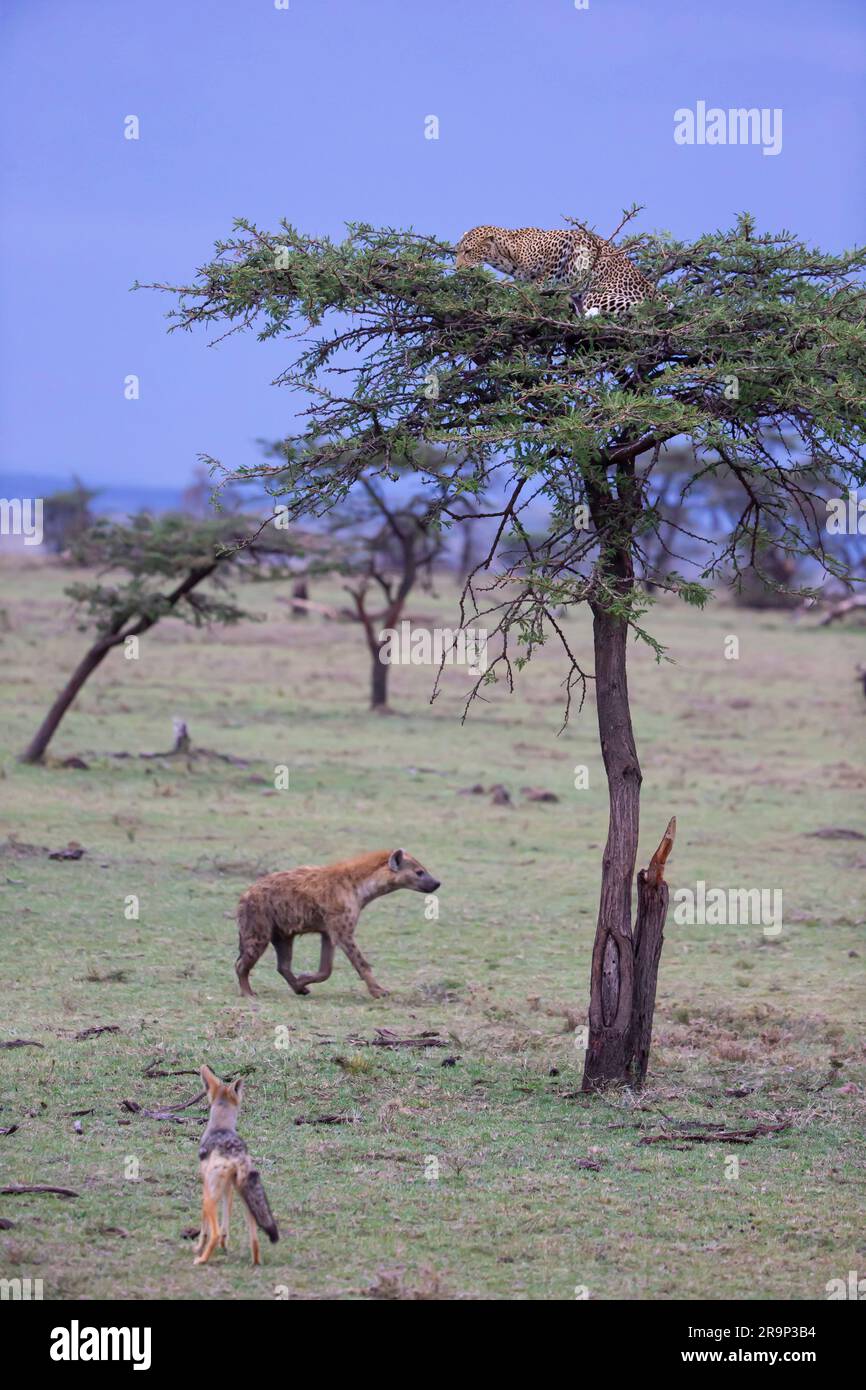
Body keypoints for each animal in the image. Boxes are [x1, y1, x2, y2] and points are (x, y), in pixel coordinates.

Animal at [453, 225, 656, 318]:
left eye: (468, 252)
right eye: (458, 251)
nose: (457, 268)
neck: (505, 255)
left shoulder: (563, 241)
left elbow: (545, 276)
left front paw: (534, 290)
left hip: (599, 293)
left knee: (646, 307)